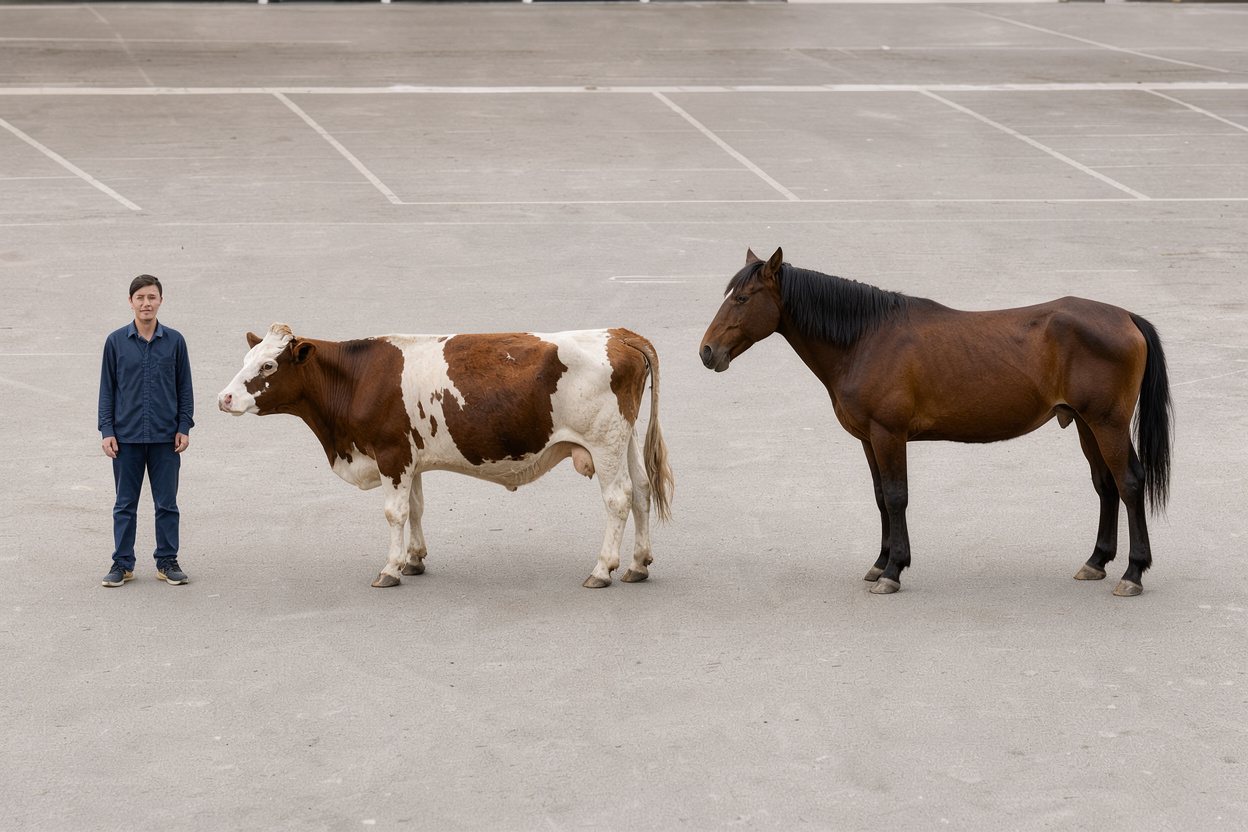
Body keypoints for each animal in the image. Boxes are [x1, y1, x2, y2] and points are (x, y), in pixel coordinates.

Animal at [218, 324, 673, 589]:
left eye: (269, 365)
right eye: (247, 359)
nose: (224, 398)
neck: (358, 378)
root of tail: (619, 333)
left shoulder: (390, 453)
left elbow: (395, 513)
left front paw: (390, 568)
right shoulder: (410, 457)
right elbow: (417, 507)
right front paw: (414, 560)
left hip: (604, 442)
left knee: (617, 499)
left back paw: (603, 569)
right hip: (623, 439)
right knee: (641, 491)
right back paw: (638, 564)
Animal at [699, 247, 1172, 597]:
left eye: (742, 298)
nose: (706, 352)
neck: (865, 338)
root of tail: (1126, 317)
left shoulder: (888, 435)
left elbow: (896, 497)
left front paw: (894, 570)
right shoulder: (869, 440)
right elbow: (879, 497)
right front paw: (879, 563)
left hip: (1107, 425)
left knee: (1130, 484)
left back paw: (1133, 574)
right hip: (1085, 425)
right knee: (1106, 486)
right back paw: (1096, 563)